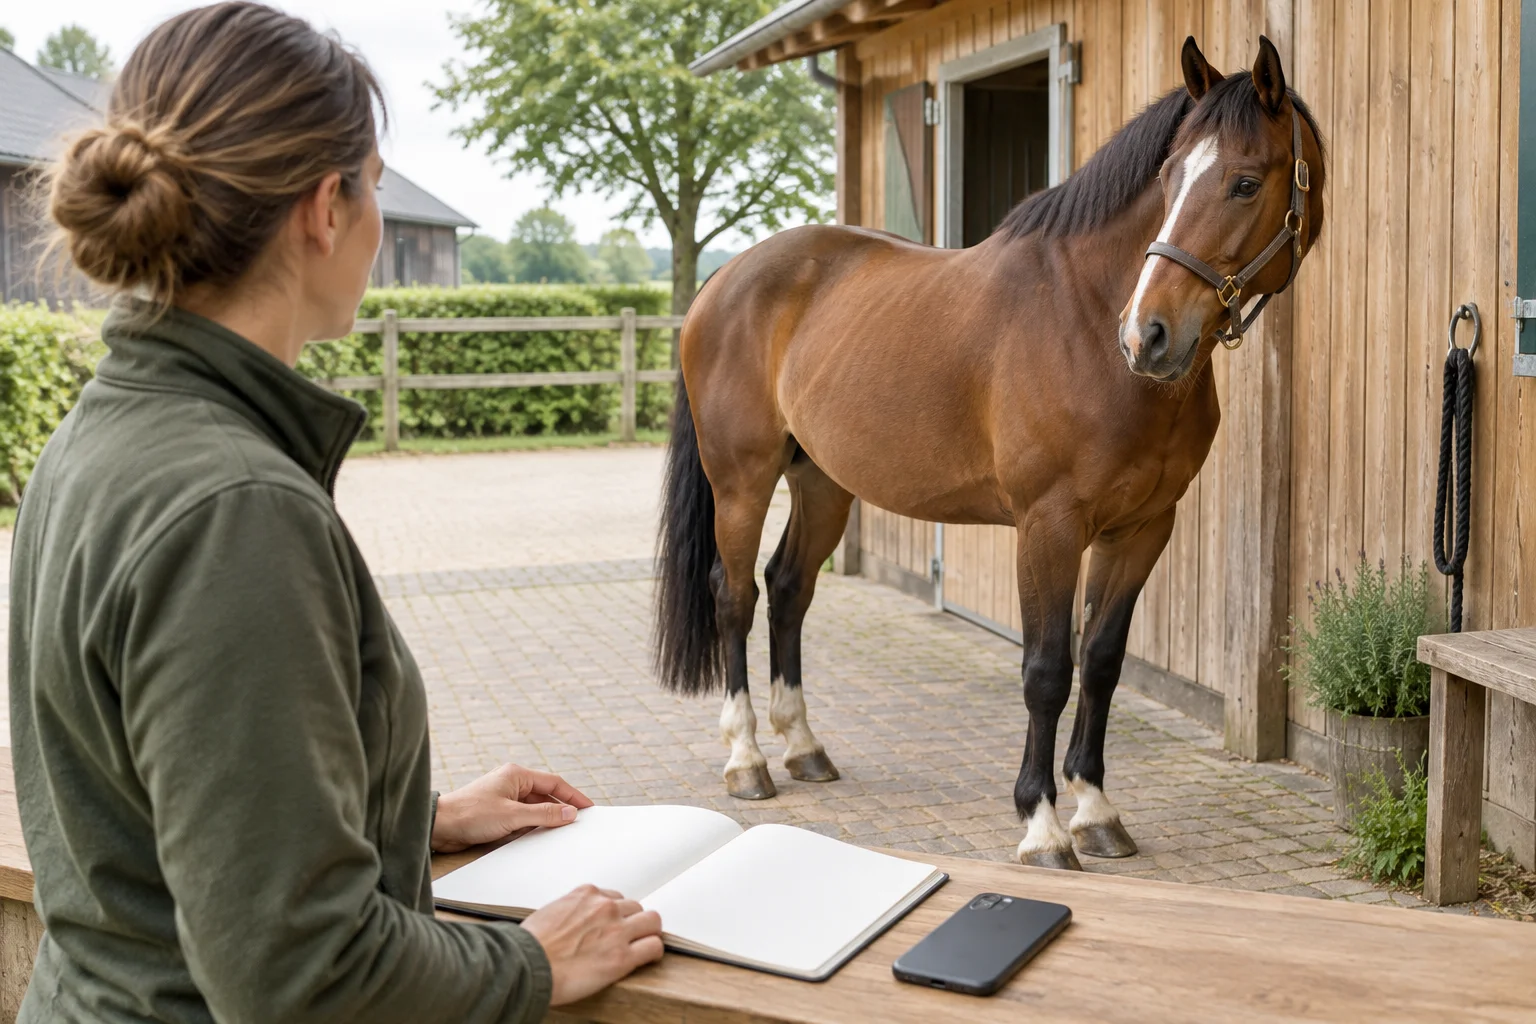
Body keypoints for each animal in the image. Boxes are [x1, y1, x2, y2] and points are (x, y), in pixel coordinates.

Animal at [652, 36, 1327, 869]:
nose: (1150, 335)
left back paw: (804, 747)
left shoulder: (1143, 528)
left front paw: (1095, 810)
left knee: (789, 588)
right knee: (735, 595)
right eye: (1169, 178)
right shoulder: (1048, 527)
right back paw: (747, 760)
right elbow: (1046, 670)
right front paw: (1041, 825)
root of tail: (725, 279)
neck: (1086, 321)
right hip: (742, 479)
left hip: (823, 483)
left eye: (1244, 182)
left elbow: (1102, 664)